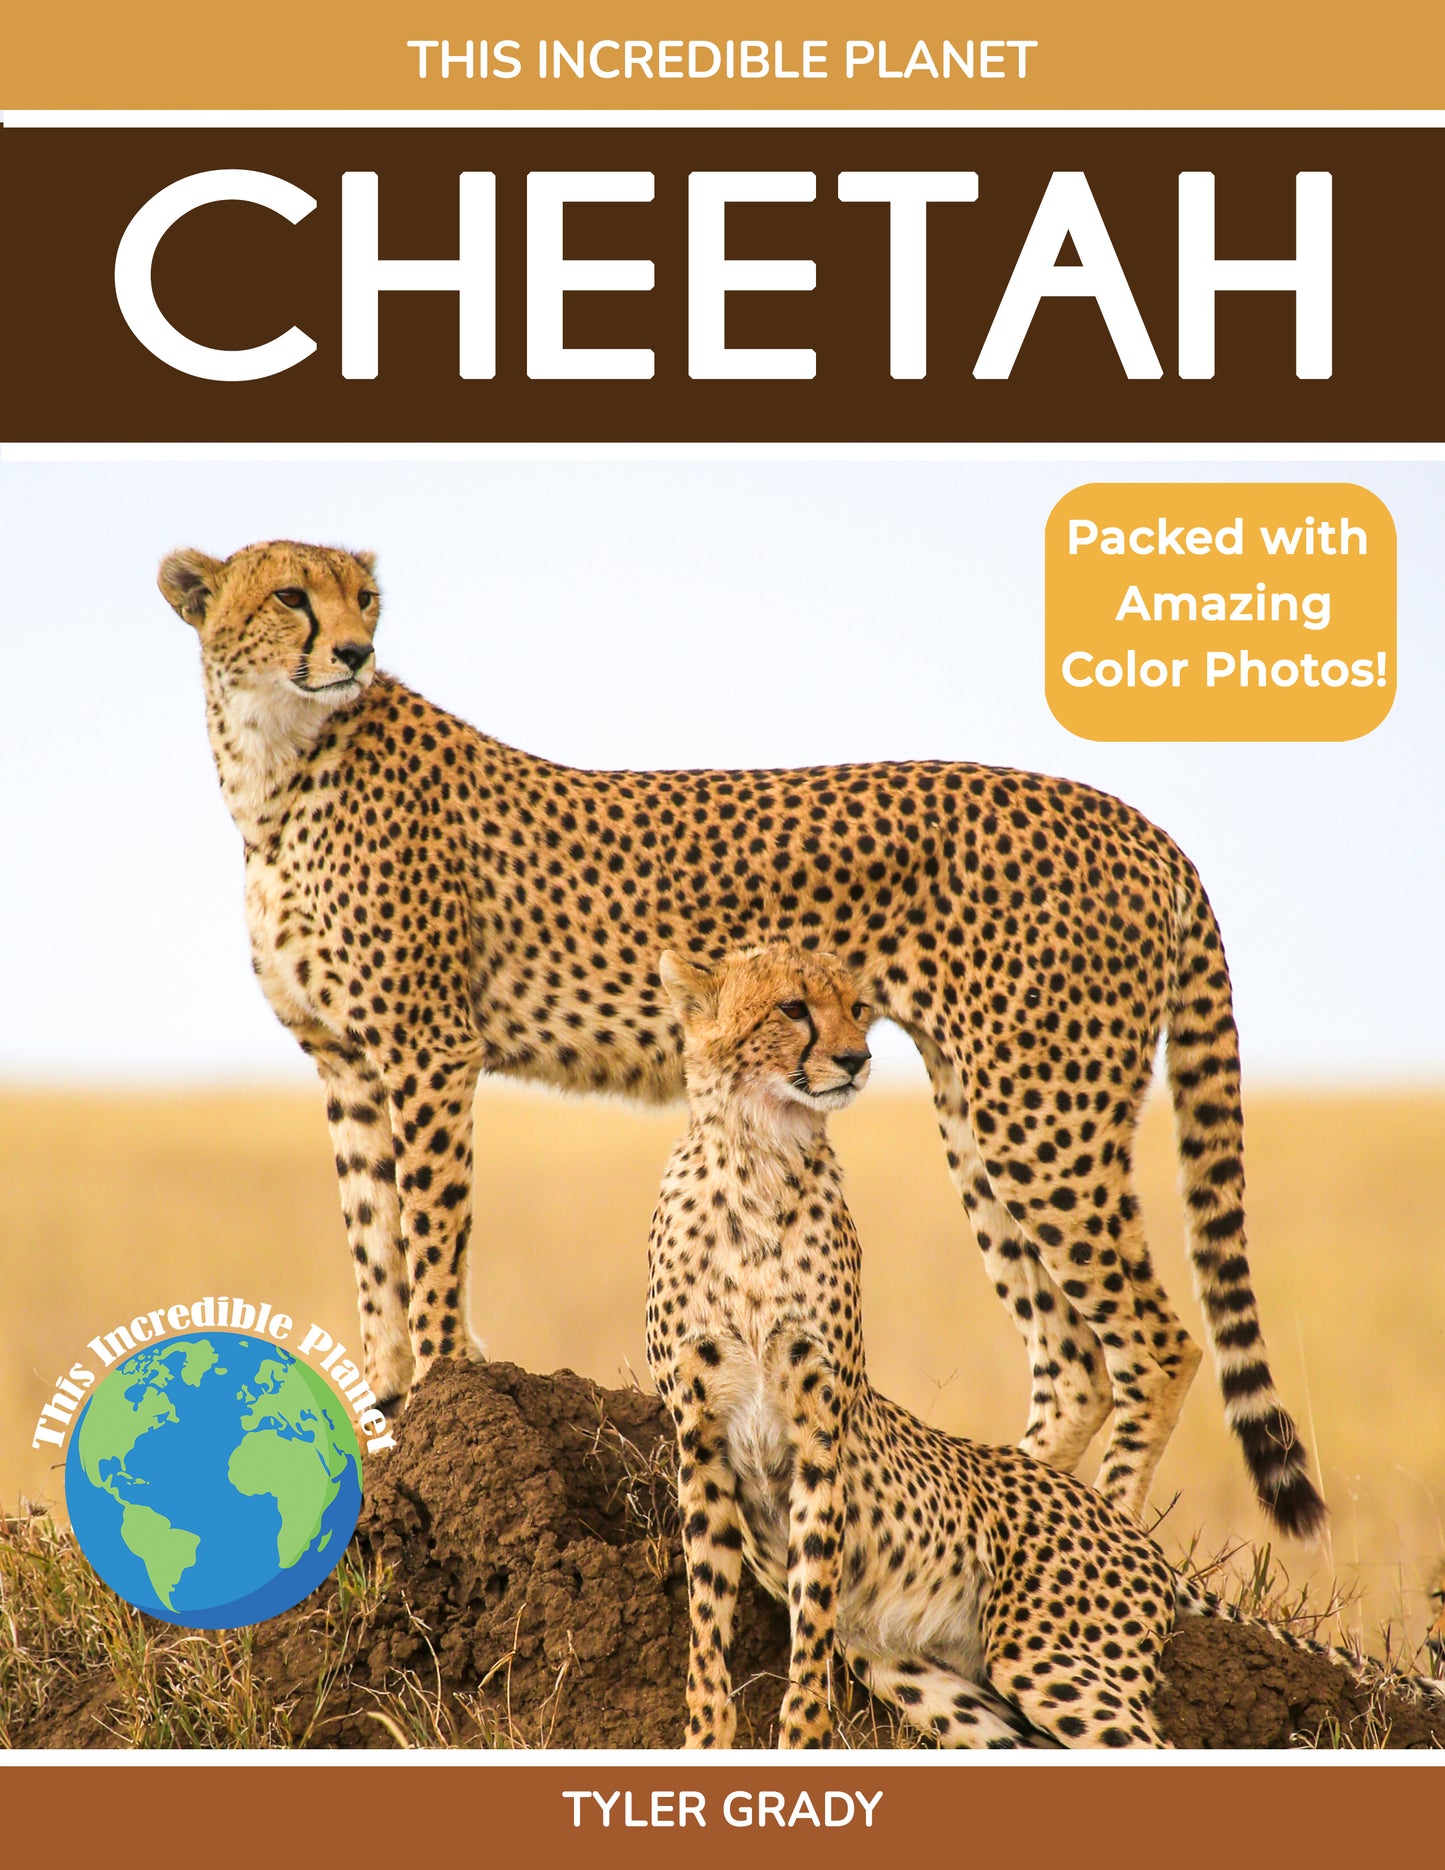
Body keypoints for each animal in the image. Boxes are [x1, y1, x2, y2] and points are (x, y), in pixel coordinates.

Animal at [158, 535, 1324, 1534]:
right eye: (291, 596)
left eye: (365, 598)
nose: (354, 652)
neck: (276, 765)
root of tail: (1140, 822)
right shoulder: (348, 1062)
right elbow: (374, 1244)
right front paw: (389, 1406)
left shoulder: (427, 1045)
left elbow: (430, 1231)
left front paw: (447, 1379)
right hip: (981, 1112)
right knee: (1071, 1355)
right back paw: (1000, 1512)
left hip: (1039, 1111)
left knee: (1153, 1342)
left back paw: (1102, 1536)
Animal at [645, 941, 1445, 1749]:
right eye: (792, 1007)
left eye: (857, 1007)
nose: (854, 1058)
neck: (758, 1157)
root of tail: (1134, 1536)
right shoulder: (700, 1439)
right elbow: (706, 1623)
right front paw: (705, 1738)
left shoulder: (818, 1433)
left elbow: (809, 1622)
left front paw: (799, 1737)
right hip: (931, 1683)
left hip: (1047, 1655)